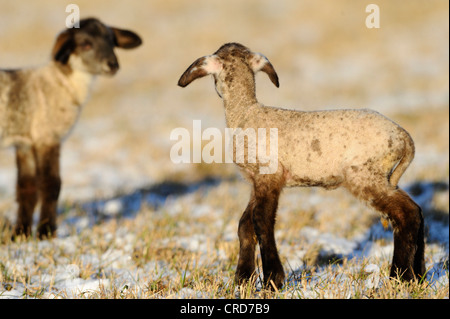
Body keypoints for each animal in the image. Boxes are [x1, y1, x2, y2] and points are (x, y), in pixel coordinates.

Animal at [0, 16, 142, 239]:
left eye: (111, 41)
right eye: (85, 44)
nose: (113, 64)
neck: (62, 83)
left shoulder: (25, 142)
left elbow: (26, 188)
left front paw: (21, 234)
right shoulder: (48, 137)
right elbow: (51, 184)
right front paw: (46, 232)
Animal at [177, 42, 426, 290]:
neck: (245, 114)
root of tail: (405, 138)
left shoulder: (269, 176)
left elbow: (261, 221)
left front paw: (272, 280)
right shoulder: (256, 181)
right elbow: (245, 225)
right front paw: (243, 279)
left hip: (364, 175)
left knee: (406, 213)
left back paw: (401, 276)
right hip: (381, 177)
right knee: (416, 211)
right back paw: (418, 276)